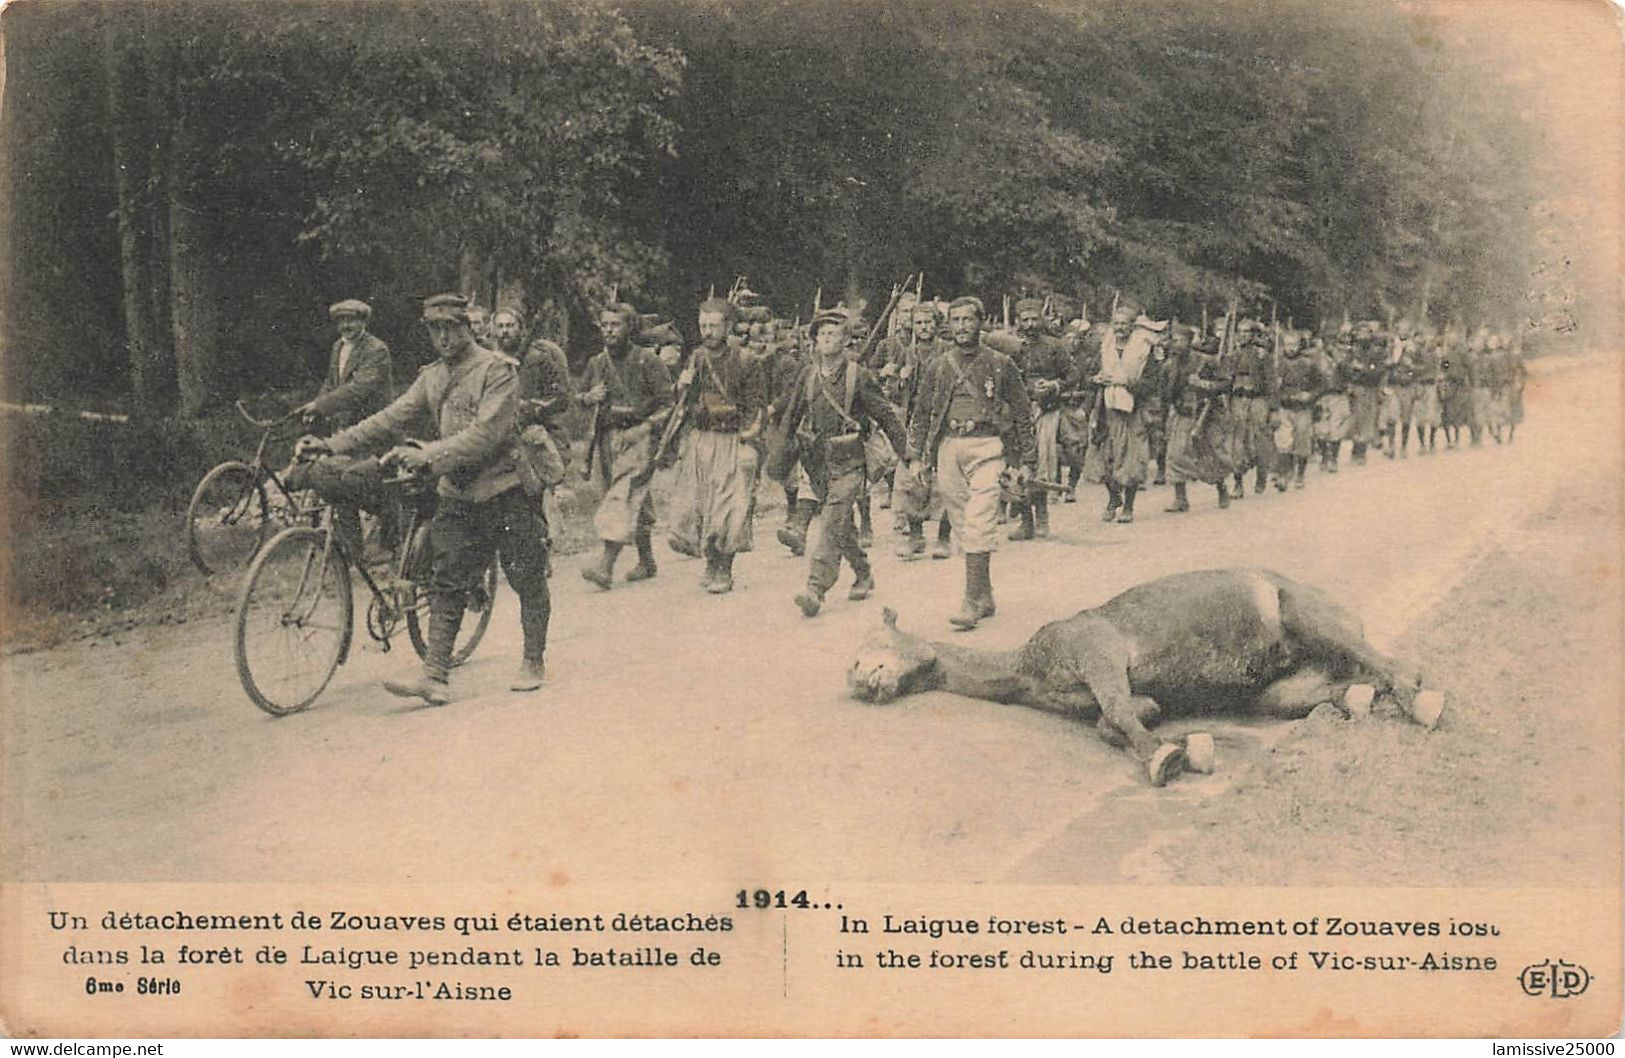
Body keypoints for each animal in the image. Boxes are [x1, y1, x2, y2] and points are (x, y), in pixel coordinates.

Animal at [851, 572, 1449, 786]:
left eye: (874, 643)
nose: (857, 679)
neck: (1024, 667)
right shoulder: (1114, 692)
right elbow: (1122, 718)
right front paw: (1185, 744)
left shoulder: (1096, 650)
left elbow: (1117, 714)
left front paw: (1171, 757)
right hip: (1281, 690)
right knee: (1351, 685)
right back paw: (1356, 702)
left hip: (1307, 614)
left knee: (1399, 668)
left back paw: (1425, 706)